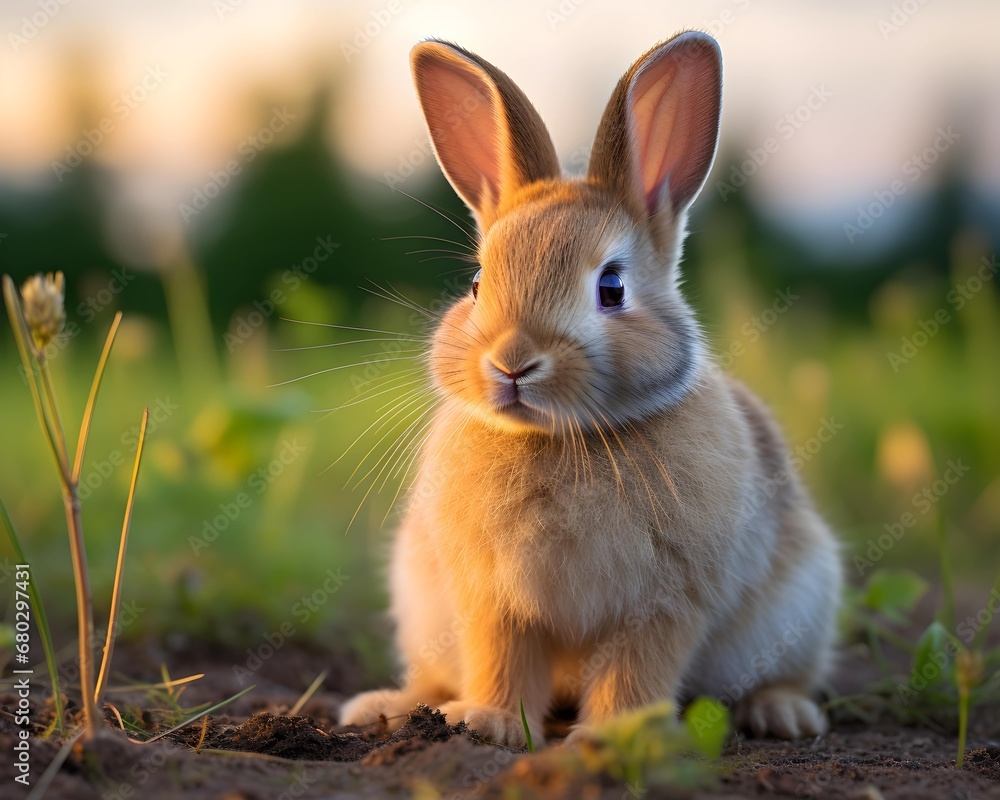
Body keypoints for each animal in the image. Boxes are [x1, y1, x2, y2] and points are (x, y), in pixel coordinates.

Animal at [339, 30, 842, 748]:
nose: (513, 363)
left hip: (803, 604)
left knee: (785, 674)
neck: (558, 437)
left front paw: (613, 738)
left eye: (611, 287)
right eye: (476, 284)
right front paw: (489, 722)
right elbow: (502, 660)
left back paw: (783, 713)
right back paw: (387, 706)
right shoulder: (492, 600)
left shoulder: (667, 603)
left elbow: (634, 671)